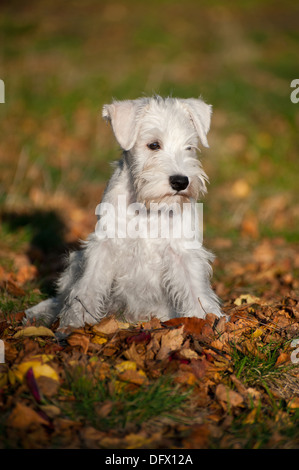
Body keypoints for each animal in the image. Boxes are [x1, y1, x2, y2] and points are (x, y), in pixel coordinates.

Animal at [25, 96, 224, 328]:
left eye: (189, 147)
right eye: (153, 145)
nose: (181, 182)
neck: (147, 208)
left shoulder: (182, 252)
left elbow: (196, 290)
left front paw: (210, 321)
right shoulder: (105, 246)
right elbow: (87, 288)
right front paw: (74, 323)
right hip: (75, 261)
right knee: (61, 297)